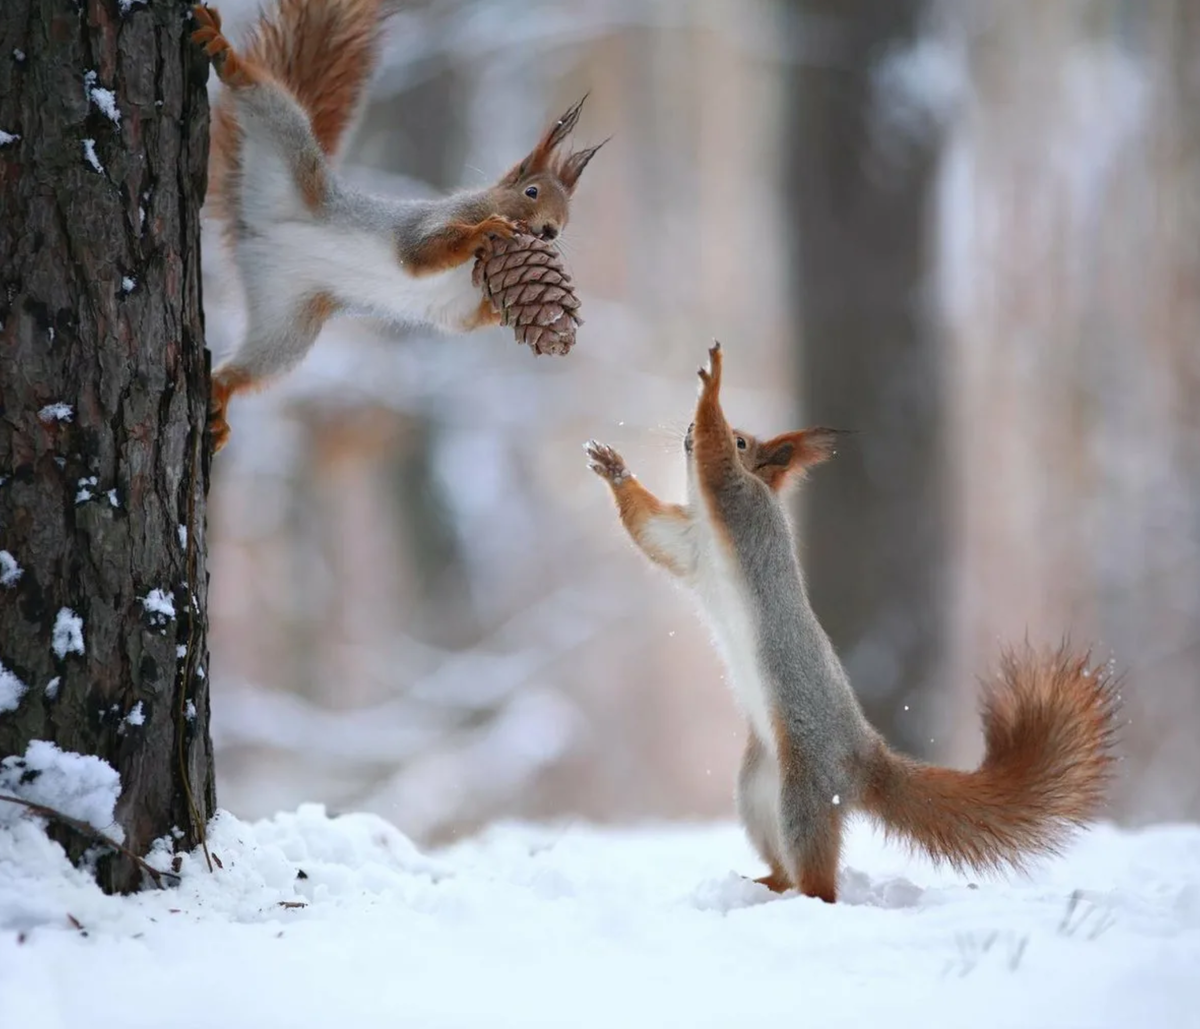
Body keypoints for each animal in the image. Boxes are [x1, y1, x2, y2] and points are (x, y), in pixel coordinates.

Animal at [193, 1, 604, 448]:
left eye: (567, 217)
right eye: (531, 192)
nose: (551, 231)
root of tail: (253, 231)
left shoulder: (459, 304)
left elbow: (464, 321)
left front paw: (502, 312)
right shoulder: (432, 221)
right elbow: (421, 252)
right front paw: (484, 232)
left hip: (286, 321)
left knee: (250, 367)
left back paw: (221, 395)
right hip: (288, 150)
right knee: (263, 97)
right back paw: (225, 54)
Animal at [585, 343, 1118, 897]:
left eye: (742, 439)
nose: (687, 430)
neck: (709, 524)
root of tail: (867, 760)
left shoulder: (739, 501)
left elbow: (718, 465)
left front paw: (713, 385)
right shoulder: (687, 546)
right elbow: (649, 531)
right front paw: (613, 467)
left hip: (805, 789)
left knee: (821, 879)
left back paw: (803, 897)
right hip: (756, 791)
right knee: (784, 861)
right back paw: (766, 884)